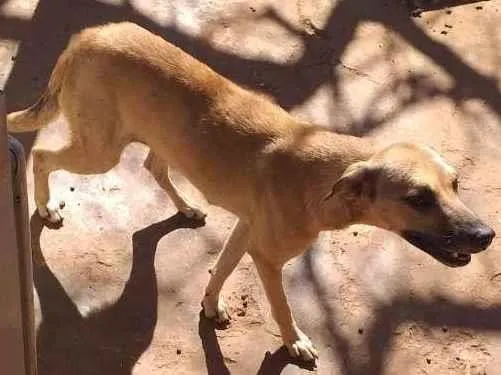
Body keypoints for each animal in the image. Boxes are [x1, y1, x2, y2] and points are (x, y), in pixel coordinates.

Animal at [6, 22, 492, 362]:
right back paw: (45, 208)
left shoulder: (245, 231)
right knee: (43, 155)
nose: (486, 235)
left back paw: (186, 209)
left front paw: (210, 306)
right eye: (418, 199)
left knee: (152, 167)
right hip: (99, 151)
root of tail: (87, 36)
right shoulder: (268, 257)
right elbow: (282, 307)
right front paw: (294, 343)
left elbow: (220, 269)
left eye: (456, 184)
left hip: (152, 142)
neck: (323, 179)